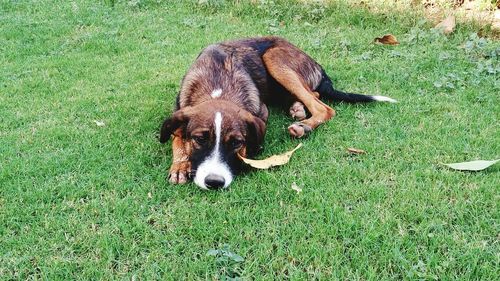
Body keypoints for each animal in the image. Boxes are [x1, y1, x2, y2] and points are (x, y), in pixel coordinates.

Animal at [159, 36, 394, 189]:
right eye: (199, 139)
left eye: (237, 143)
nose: (215, 182)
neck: (217, 87)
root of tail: (318, 67)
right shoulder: (180, 109)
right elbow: (177, 136)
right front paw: (180, 164)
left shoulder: (261, 111)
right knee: (315, 94)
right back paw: (297, 108)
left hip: (275, 58)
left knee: (323, 106)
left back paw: (304, 125)